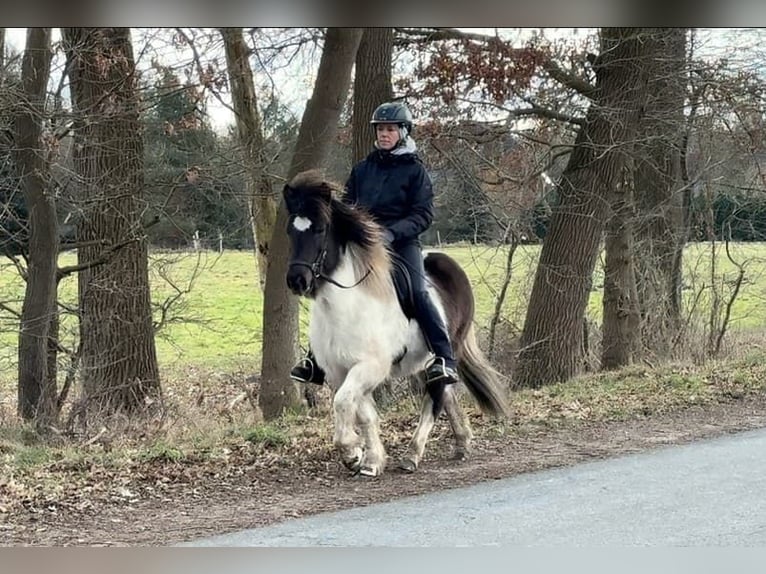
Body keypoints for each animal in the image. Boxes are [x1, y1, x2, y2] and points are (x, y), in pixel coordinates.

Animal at [282, 170, 510, 476]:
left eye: (319, 229)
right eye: (290, 230)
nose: (297, 280)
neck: (346, 307)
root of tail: (450, 265)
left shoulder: (371, 366)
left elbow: (343, 402)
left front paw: (351, 450)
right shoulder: (340, 371)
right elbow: (363, 412)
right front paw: (370, 460)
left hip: (446, 350)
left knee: (435, 398)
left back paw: (413, 455)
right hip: (424, 362)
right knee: (446, 392)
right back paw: (462, 442)